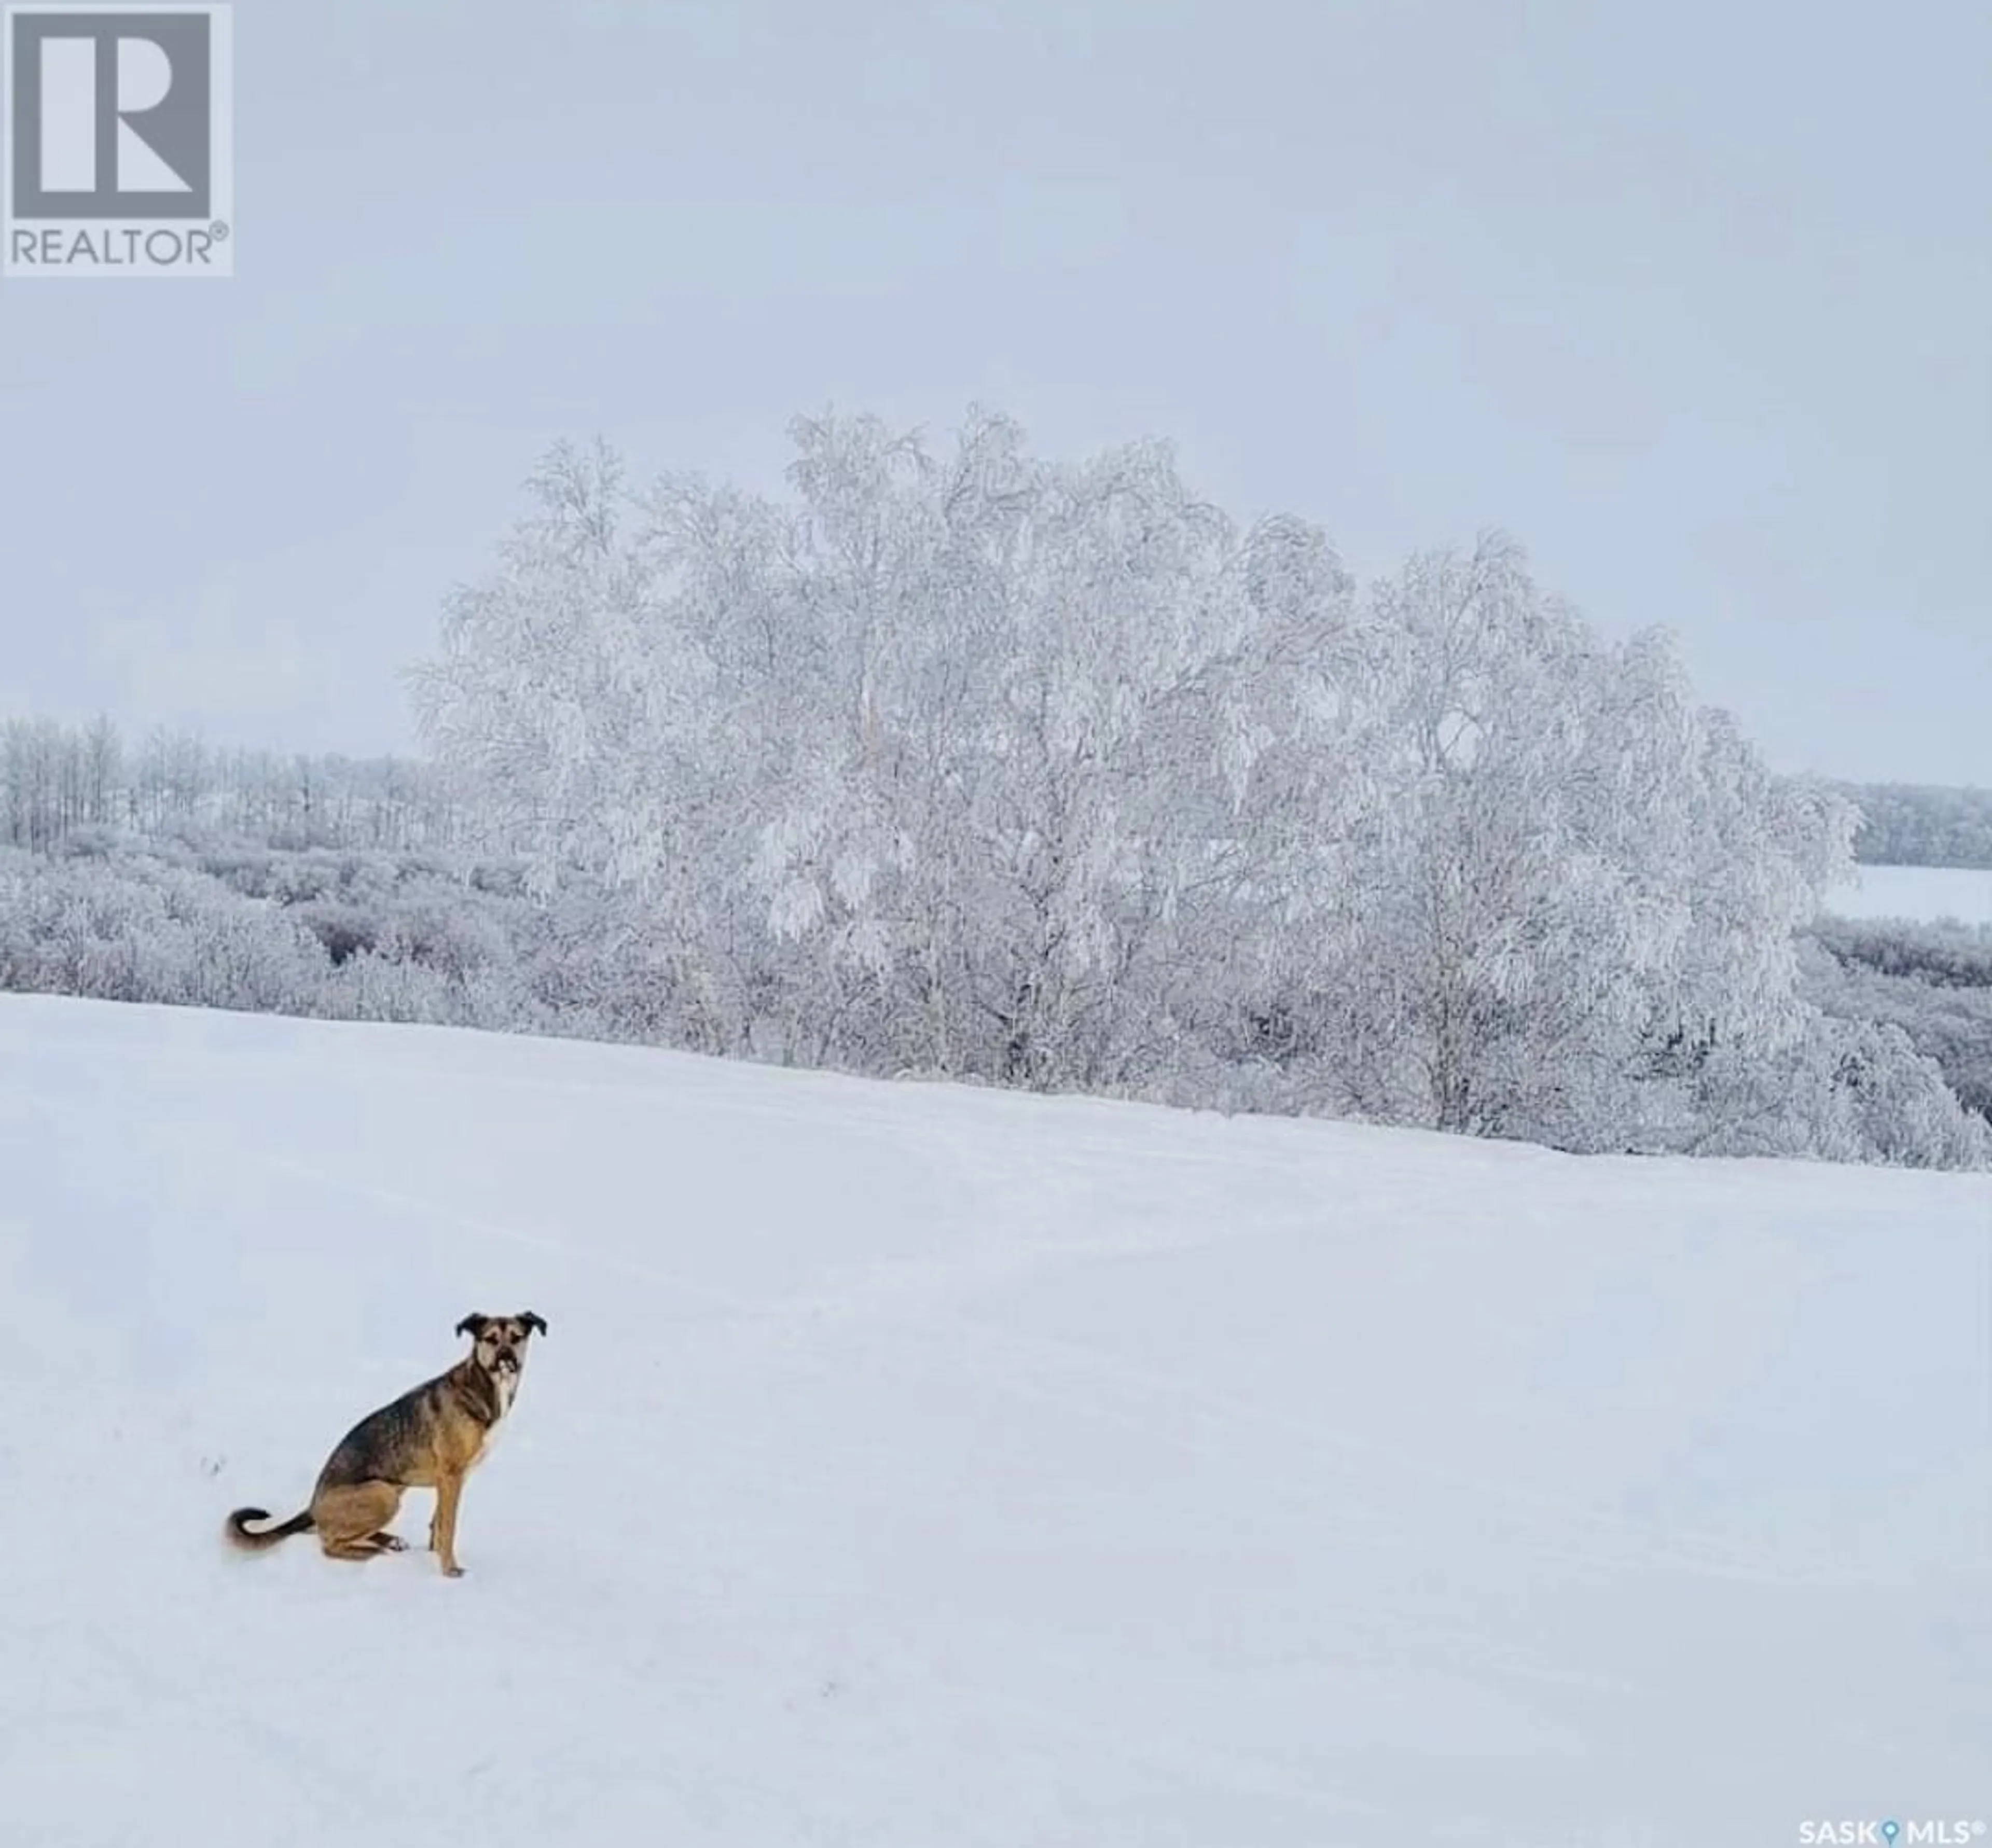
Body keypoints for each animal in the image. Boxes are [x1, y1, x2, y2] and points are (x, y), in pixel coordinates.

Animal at [226, 1306, 546, 1577]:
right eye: (490, 1339)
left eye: (516, 1338)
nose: (507, 1360)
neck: (487, 1387)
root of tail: (313, 1506)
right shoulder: (451, 1476)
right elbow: (449, 1527)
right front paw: (449, 1570)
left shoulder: (453, 1480)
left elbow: (439, 1524)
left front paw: (433, 1553)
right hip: (384, 1494)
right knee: (329, 1544)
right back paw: (376, 1552)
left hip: (395, 1486)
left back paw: (389, 1542)